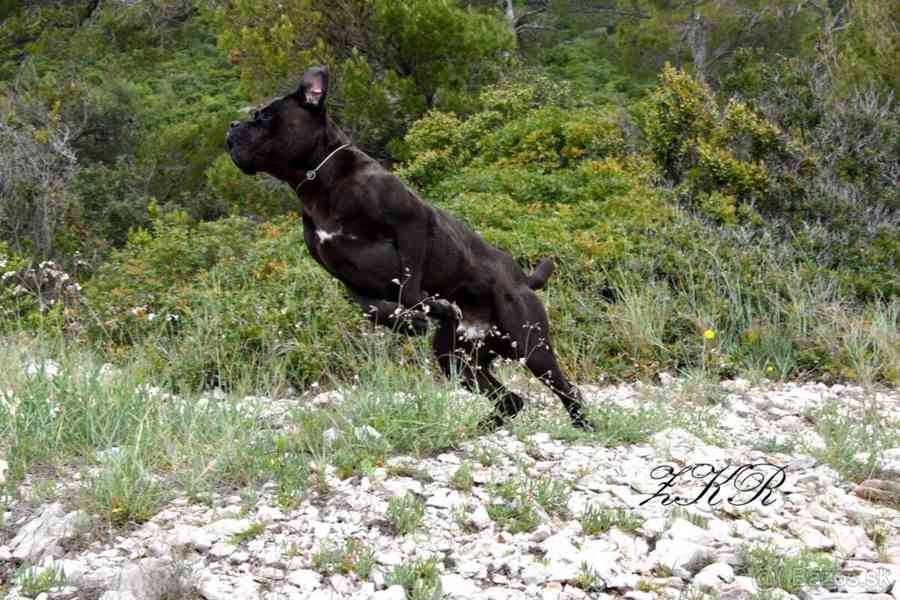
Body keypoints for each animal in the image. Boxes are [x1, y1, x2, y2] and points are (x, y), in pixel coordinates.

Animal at [227, 65, 592, 432]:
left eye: (264, 116)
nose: (232, 126)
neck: (319, 180)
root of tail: (523, 280)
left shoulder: (412, 223)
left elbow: (409, 284)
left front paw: (432, 308)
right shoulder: (345, 277)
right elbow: (372, 307)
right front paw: (409, 322)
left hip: (531, 348)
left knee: (566, 390)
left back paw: (583, 425)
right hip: (455, 357)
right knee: (510, 399)